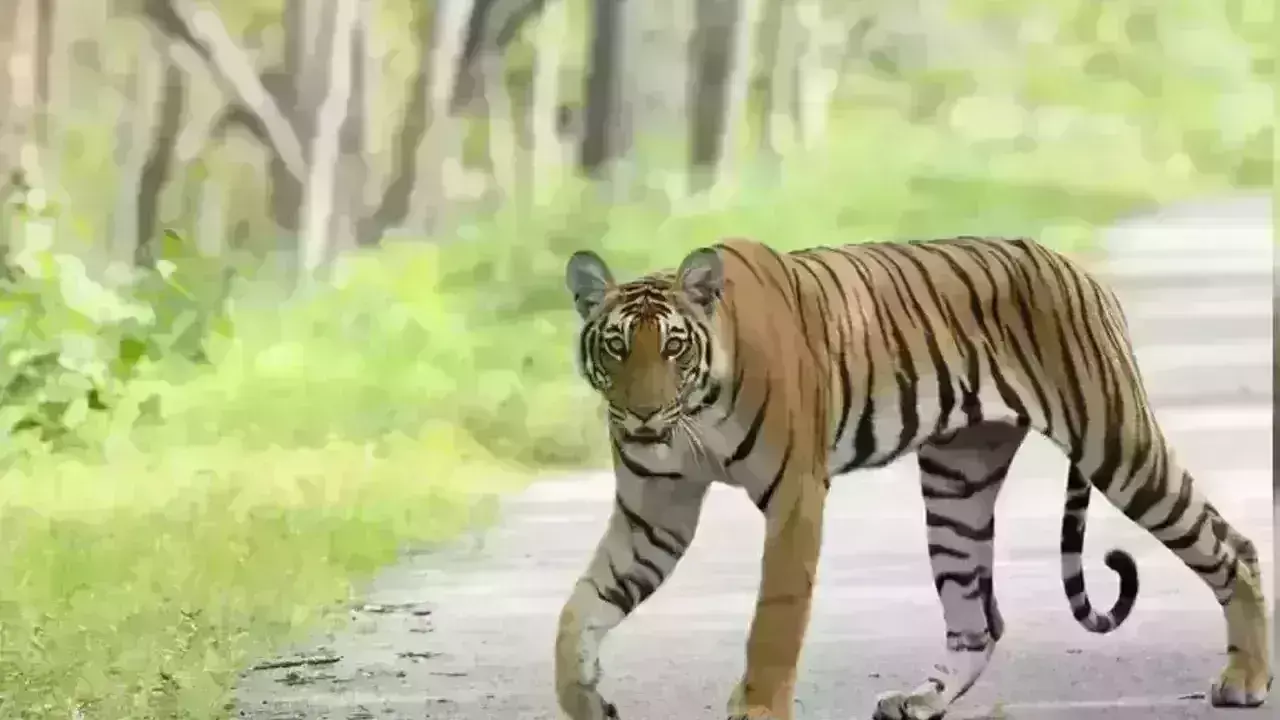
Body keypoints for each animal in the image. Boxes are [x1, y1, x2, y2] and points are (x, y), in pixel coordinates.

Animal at [554, 235, 1272, 720]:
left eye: (674, 347)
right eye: (617, 346)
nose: (642, 413)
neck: (694, 413)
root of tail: (1073, 266)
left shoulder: (795, 497)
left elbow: (774, 618)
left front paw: (757, 708)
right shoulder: (655, 511)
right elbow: (581, 607)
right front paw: (585, 700)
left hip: (1116, 443)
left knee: (1230, 545)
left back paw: (1246, 679)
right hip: (958, 481)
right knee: (978, 619)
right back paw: (919, 700)